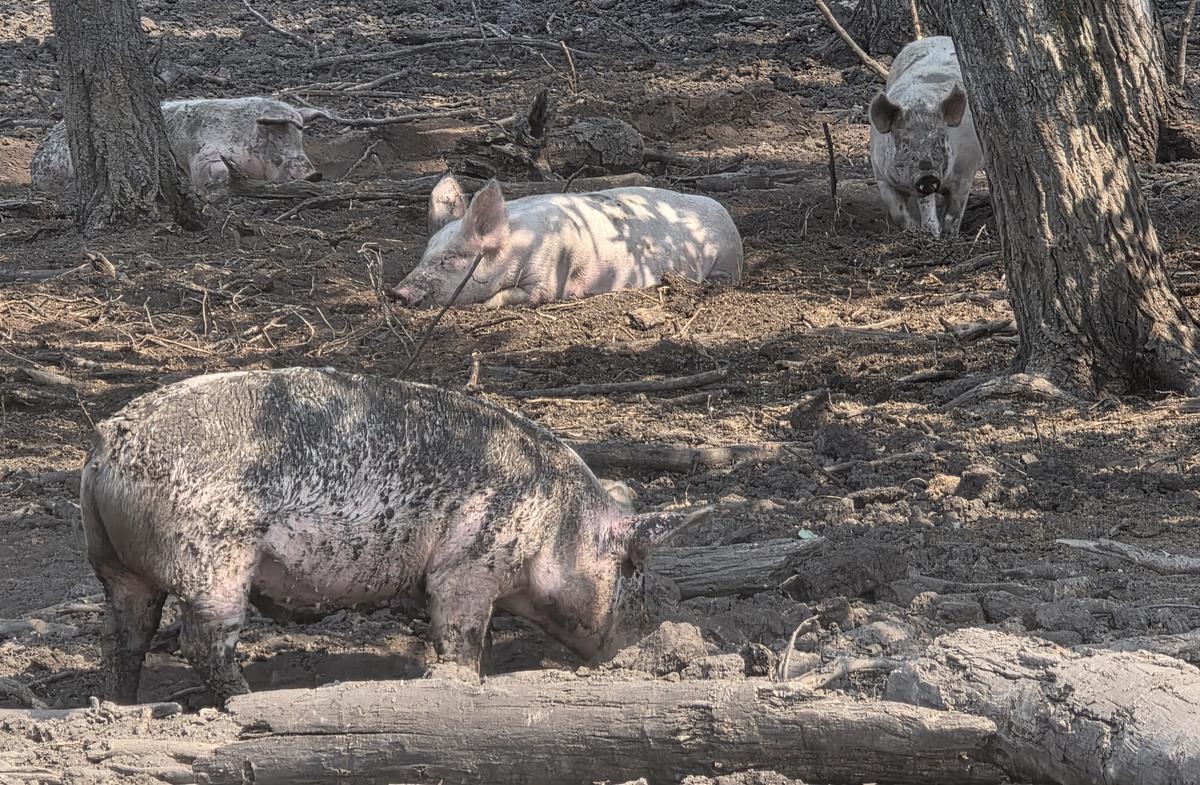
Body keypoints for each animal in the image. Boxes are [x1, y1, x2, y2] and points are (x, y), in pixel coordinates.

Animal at [80, 367, 706, 702]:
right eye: (633, 573)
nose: (651, 638)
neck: (560, 525)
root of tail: (107, 442)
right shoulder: (468, 567)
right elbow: (460, 638)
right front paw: (465, 680)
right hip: (215, 563)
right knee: (201, 641)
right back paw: (244, 701)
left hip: (113, 562)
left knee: (124, 635)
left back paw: (118, 703)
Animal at [389, 174, 744, 308]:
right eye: (425, 255)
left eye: (451, 258)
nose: (396, 293)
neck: (514, 250)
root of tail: (726, 215)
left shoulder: (545, 279)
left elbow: (515, 297)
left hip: (726, 262)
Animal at [868, 36, 983, 238]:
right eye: (905, 145)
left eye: (939, 142)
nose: (927, 177)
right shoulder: (881, 175)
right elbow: (898, 209)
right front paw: (916, 230)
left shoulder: (966, 170)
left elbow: (954, 212)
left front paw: (948, 235)